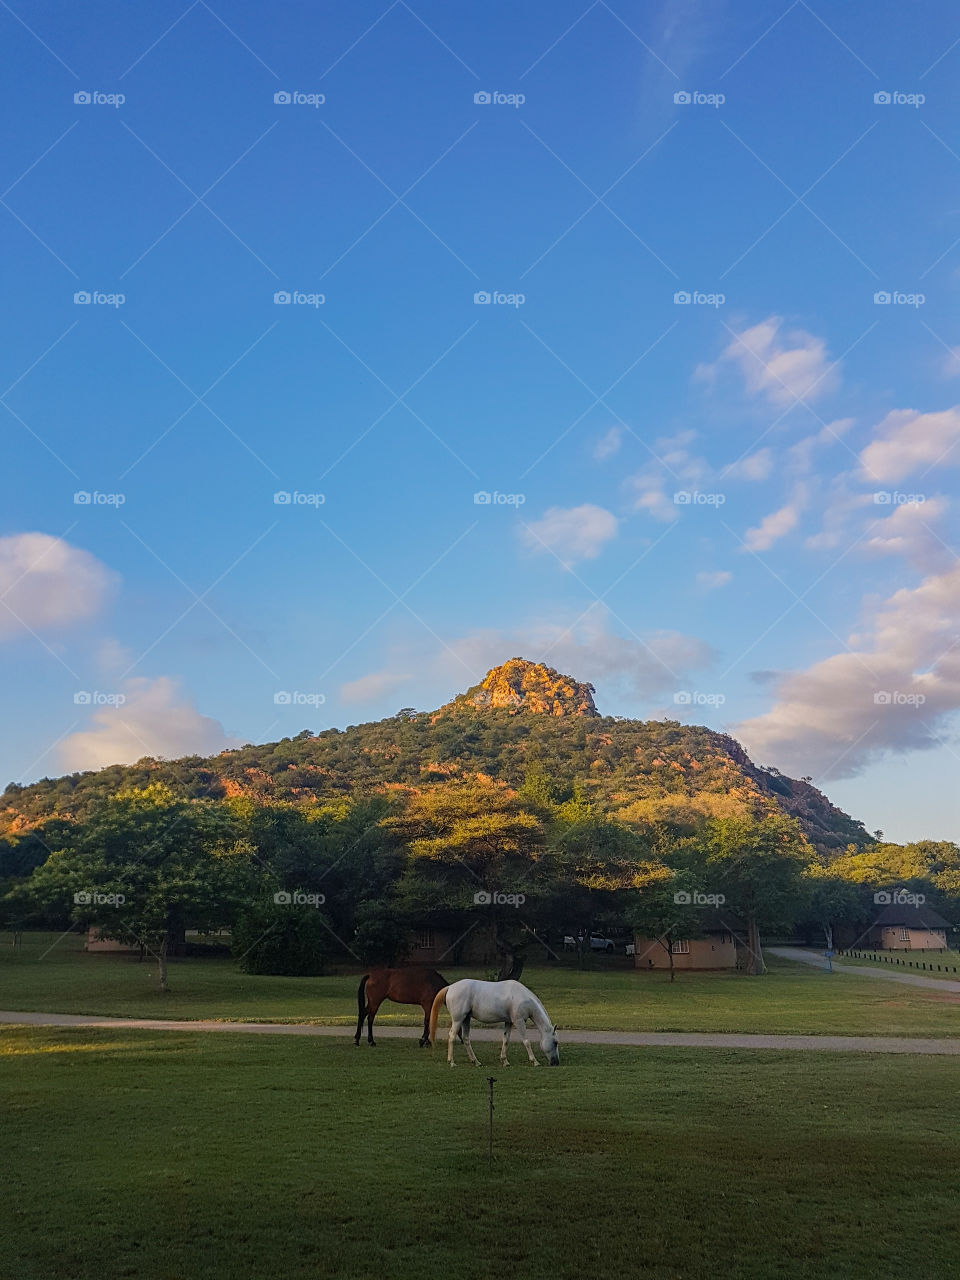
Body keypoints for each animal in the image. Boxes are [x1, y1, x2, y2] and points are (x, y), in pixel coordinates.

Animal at [429, 978, 560, 1068]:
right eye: (555, 1042)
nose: (556, 1062)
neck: (523, 998)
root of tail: (450, 987)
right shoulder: (519, 1022)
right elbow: (526, 1041)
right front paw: (535, 1061)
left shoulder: (509, 1022)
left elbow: (505, 1041)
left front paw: (505, 1061)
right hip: (458, 1020)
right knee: (451, 1036)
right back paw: (452, 1062)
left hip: (466, 1019)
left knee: (466, 1038)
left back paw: (476, 1061)